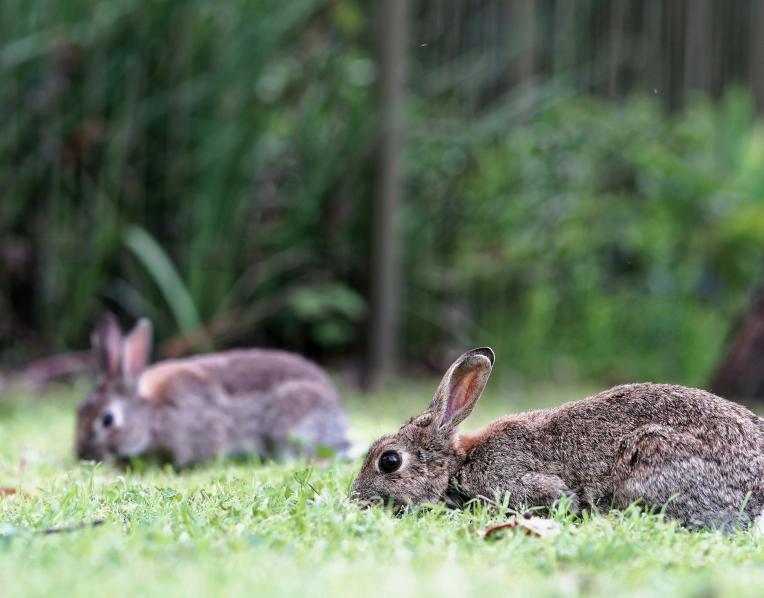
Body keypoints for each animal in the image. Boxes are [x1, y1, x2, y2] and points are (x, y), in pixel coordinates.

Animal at [351, 347, 764, 530]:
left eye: (389, 460)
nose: (355, 498)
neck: (458, 464)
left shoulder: (515, 480)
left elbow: (557, 496)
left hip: (651, 459)